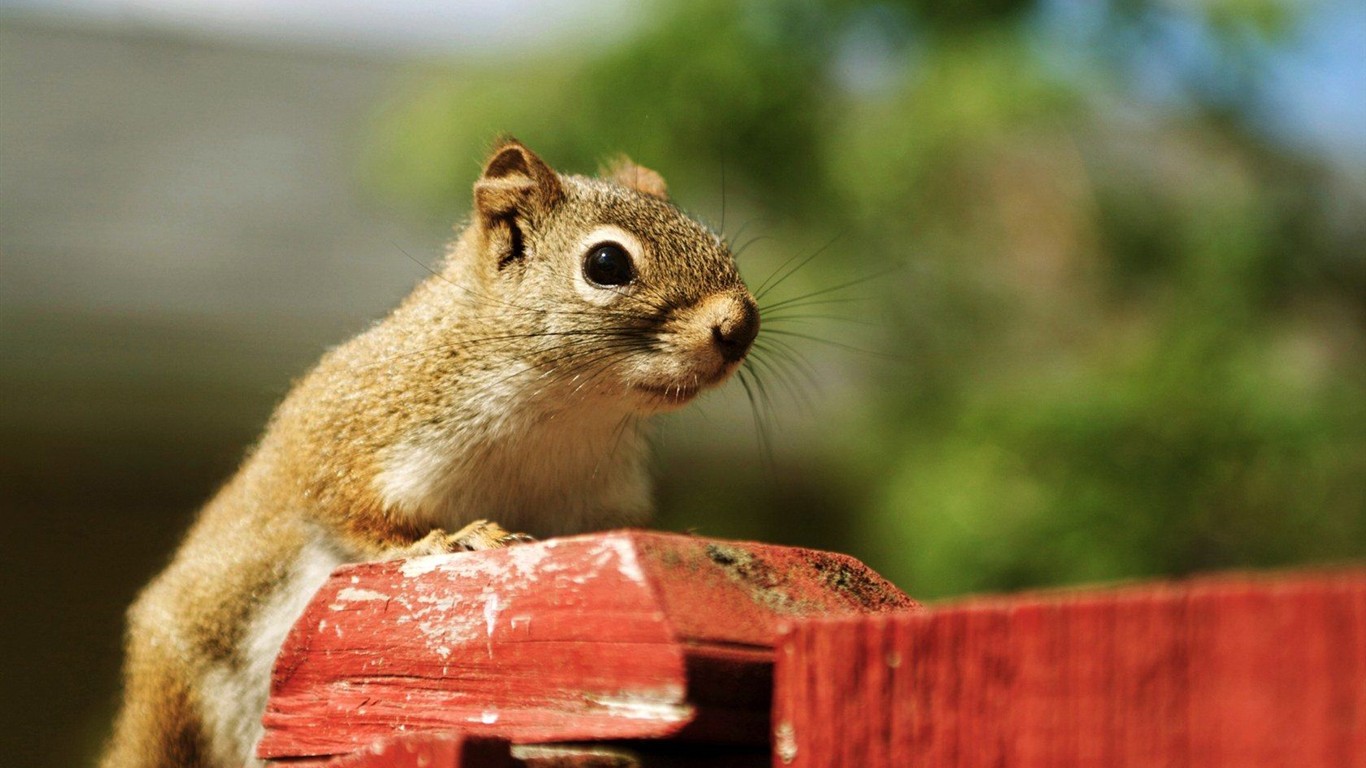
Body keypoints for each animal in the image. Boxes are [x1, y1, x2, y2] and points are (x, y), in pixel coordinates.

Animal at [99, 138, 759, 765]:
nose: (741, 325)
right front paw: (445, 541)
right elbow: (348, 512)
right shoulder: (346, 434)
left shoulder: (597, 502)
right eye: (606, 263)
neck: (563, 413)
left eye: (716, 241)